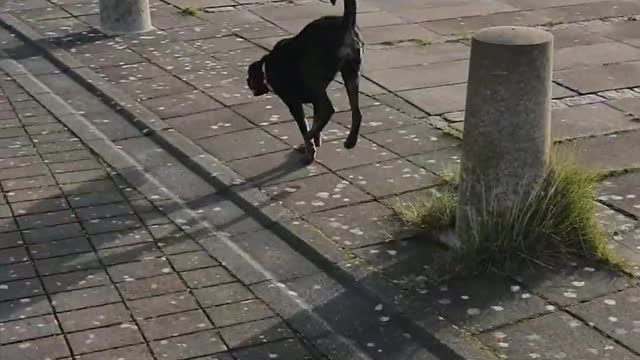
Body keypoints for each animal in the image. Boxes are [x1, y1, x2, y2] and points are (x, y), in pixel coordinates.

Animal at [248, 0, 362, 163]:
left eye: (250, 76)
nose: (246, 81)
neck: (266, 69)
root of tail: (345, 24)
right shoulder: (314, 101)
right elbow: (316, 121)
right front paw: (315, 141)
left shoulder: (293, 103)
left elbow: (304, 124)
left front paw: (310, 148)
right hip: (351, 74)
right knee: (356, 112)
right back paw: (350, 141)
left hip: (313, 75)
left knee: (329, 109)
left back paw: (309, 138)